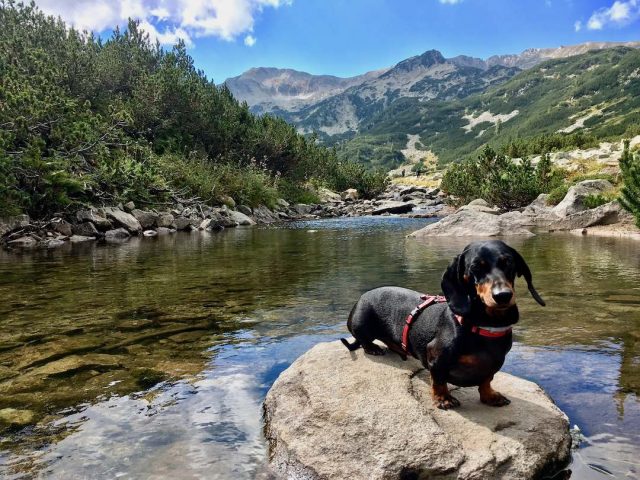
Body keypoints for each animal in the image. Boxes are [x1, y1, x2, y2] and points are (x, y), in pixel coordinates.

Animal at [340, 240, 544, 408]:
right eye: (475, 267)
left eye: (508, 262)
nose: (502, 296)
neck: (486, 326)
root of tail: (361, 298)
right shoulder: (436, 357)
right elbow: (438, 380)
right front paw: (443, 399)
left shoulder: (496, 362)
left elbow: (486, 380)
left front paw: (490, 396)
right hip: (361, 324)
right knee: (363, 340)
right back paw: (373, 348)